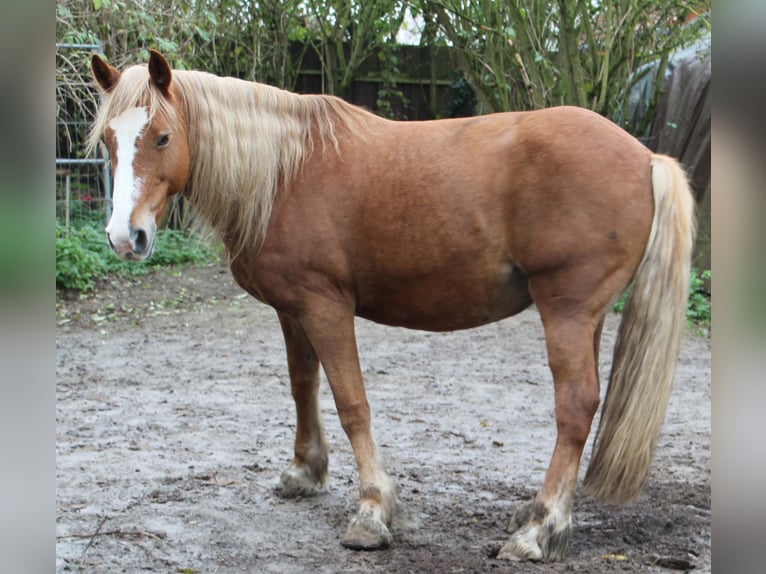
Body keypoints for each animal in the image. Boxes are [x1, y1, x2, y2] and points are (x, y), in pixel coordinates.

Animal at [88, 50, 696, 564]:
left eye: (163, 136)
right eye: (110, 142)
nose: (125, 237)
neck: (285, 171)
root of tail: (646, 156)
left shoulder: (325, 305)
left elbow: (351, 402)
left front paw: (373, 510)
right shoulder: (291, 309)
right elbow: (302, 384)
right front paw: (305, 470)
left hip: (566, 309)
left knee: (574, 408)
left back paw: (538, 530)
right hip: (584, 317)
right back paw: (543, 515)